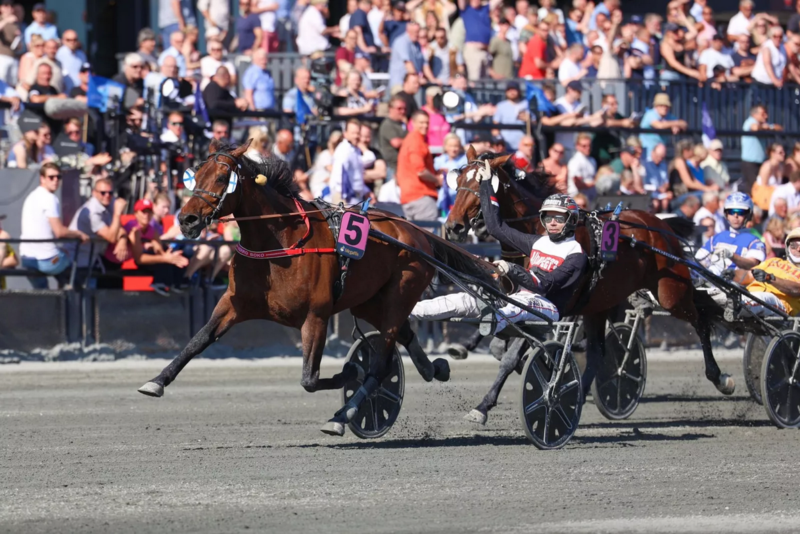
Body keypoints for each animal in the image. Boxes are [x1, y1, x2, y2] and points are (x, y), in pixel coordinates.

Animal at [139, 140, 500, 438]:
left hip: (400, 294)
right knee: (404, 336)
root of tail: (417, 233)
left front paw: (349, 372)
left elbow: (310, 379)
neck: (278, 243)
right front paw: (156, 382)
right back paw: (434, 368)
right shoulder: (234, 303)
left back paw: (343, 415)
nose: (186, 220)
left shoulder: (316, 315)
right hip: (370, 301)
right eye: (194, 174)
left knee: (380, 364)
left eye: (222, 177)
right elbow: (198, 340)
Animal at [444, 148, 732, 428]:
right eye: (458, 182)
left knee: (701, 320)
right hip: (599, 304)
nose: (453, 227)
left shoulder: (547, 307)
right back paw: (577, 395)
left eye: (481, 185)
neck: (540, 230)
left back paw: (719, 377)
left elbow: (510, 356)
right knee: (597, 352)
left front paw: (483, 406)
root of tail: (660, 225)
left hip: (671, 294)